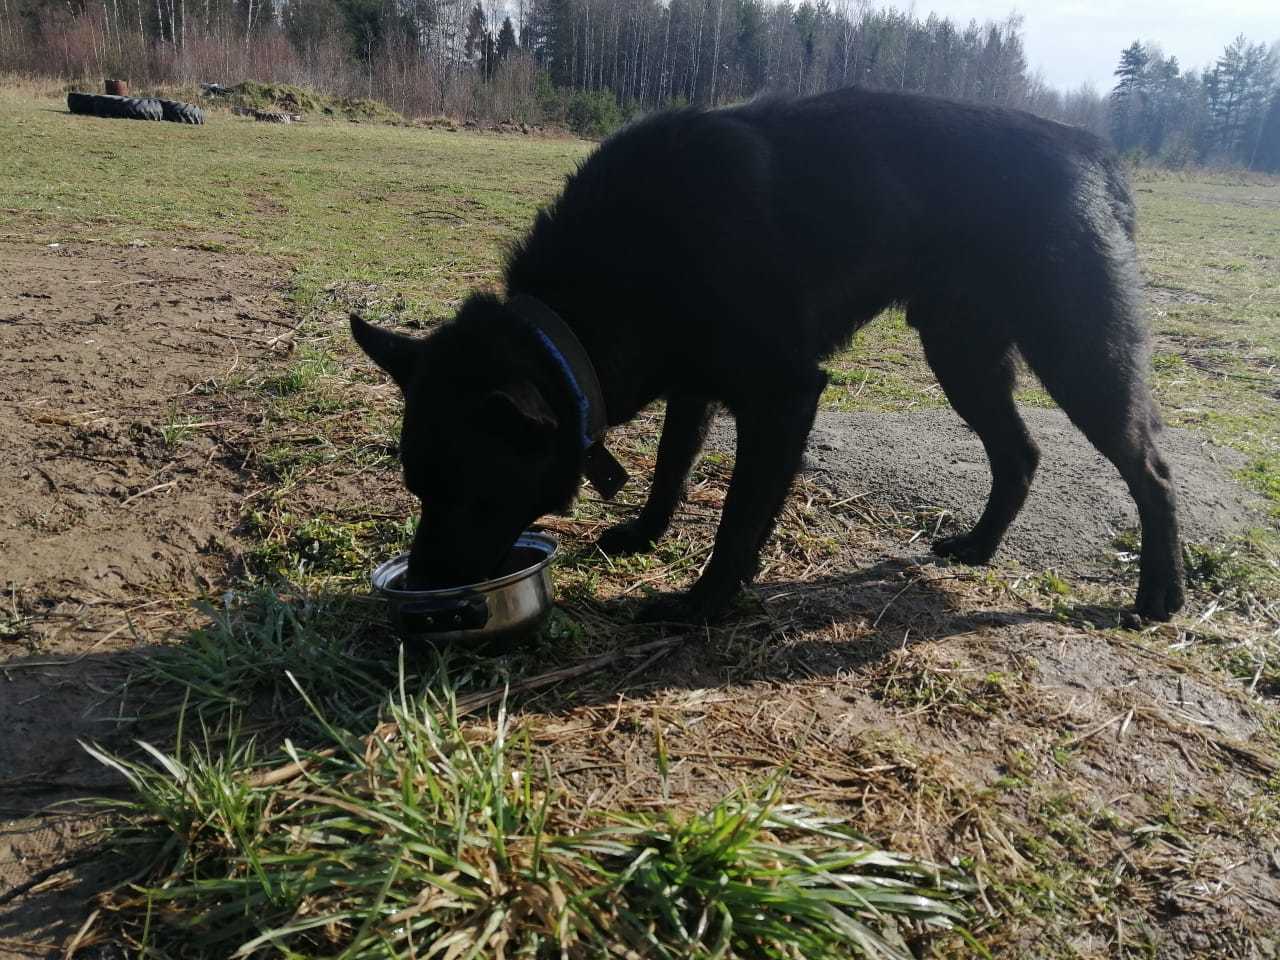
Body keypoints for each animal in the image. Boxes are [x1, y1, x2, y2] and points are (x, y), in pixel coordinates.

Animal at [353, 84, 1187, 624]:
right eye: (418, 486)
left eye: (473, 492)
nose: (424, 584)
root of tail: (1097, 154)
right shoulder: (693, 387)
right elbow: (672, 469)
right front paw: (646, 535)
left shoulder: (783, 398)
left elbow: (740, 516)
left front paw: (704, 602)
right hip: (963, 355)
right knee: (1019, 453)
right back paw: (979, 547)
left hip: (1079, 355)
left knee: (1151, 470)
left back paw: (1159, 596)